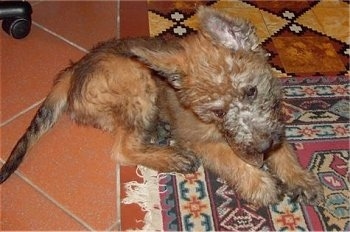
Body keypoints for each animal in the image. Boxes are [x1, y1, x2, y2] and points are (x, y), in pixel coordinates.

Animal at [0, 6, 324, 207]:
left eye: (251, 92)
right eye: (218, 112)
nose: (262, 148)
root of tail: (76, 67)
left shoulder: (274, 122)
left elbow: (282, 148)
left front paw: (297, 176)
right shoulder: (197, 138)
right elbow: (229, 157)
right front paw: (260, 182)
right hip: (137, 79)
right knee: (122, 149)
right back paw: (171, 157)